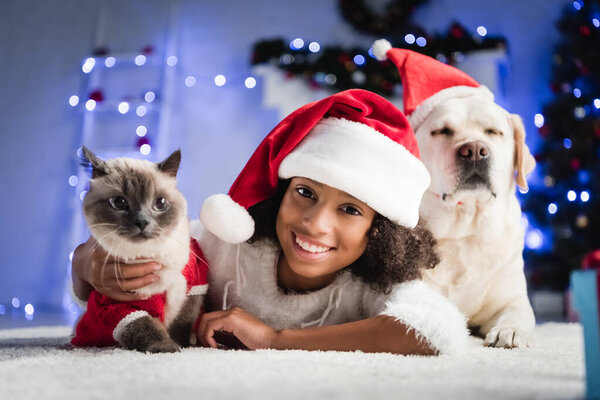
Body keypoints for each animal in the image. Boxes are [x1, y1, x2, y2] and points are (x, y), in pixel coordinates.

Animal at [71, 148, 209, 354]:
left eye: (160, 203)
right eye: (119, 202)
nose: (142, 222)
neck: (150, 254)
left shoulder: (194, 287)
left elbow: (182, 322)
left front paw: (182, 344)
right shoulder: (120, 305)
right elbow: (145, 326)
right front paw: (167, 347)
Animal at [414, 97, 536, 346]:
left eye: (493, 131)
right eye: (442, 131)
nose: (474, 151)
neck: (465, 232)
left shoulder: (512, 297)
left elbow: (516, 312)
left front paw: (510, 331)